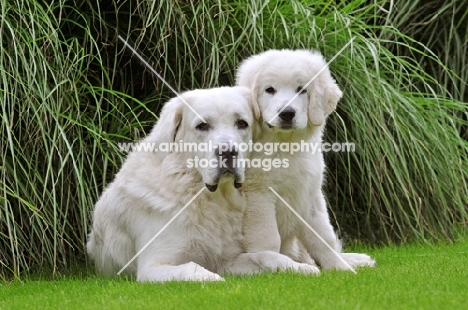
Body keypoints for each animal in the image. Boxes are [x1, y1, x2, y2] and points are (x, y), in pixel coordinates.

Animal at [86, 86, 320, 282]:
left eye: (241, 123)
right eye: (202, 126)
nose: (228, 152)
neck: (208, 198)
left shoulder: (227, 259)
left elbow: (265, 255)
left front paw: (298, 268)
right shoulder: (153, 266)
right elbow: (192, 268)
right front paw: (213, 280)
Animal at [236, 49, 374, 270]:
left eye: (301, 90)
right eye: (269, 90)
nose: (287, 113)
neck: (286, 145)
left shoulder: (309, 193)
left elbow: (323, 237)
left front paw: (340, 268)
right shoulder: (258, 195)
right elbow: (267, 238)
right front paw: (270, 261)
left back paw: (357, 259)